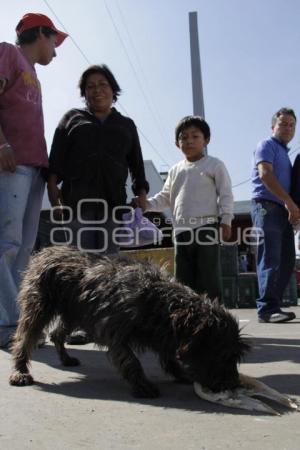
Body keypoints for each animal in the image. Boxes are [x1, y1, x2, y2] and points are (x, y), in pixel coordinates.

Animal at [8, 246, 248, 398]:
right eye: (223, 356)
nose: (234, 384)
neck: (158, 301)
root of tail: (45, 251)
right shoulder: (116, 334)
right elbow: (131, 361)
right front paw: (143, 385)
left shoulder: (164, 334)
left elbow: (168, 355)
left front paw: (179, 373)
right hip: (39, 308)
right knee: (24, 339)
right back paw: (20, 372)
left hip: (75, 313)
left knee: (56, 334)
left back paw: (66, 358)